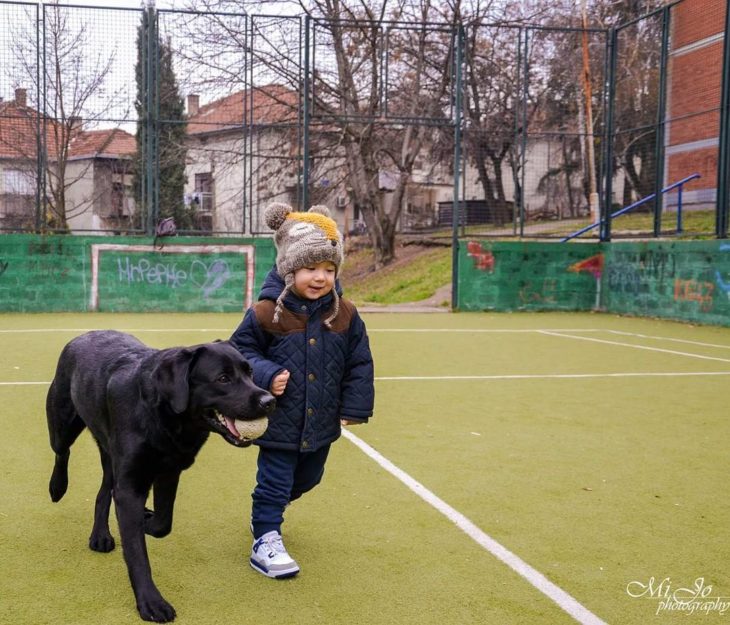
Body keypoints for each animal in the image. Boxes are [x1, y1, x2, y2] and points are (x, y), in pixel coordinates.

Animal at [46, 330, 272, 620]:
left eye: (250, 372)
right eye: (223, 378)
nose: (270, 401)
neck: (166, 419)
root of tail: (83, 335)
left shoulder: (169, 470)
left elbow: (164, 523)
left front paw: (147, 521)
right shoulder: (130, 484)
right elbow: (137, 552)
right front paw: (151, 602)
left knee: (104, 489)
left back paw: (100, 535)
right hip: (63, 422)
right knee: (62, 452)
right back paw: (57, 487)